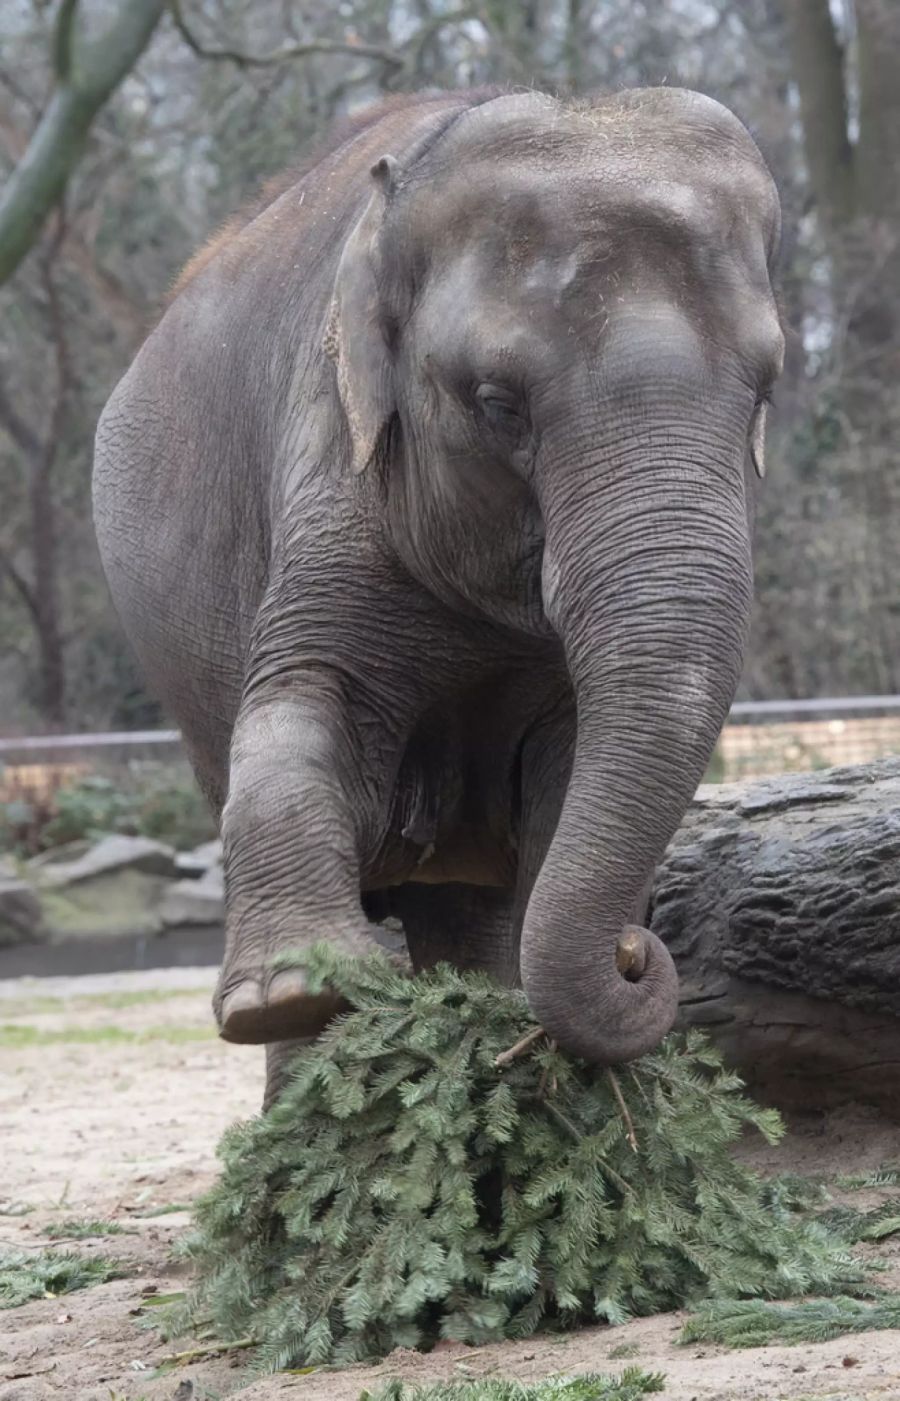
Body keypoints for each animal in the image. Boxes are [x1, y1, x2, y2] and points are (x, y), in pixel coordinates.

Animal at [91, 84, 779, 1103]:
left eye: (766, 390)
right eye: (497, 403)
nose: (636, 950)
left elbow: (571, 763)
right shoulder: (331, 457)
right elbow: (306, 700)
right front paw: (292, 989)